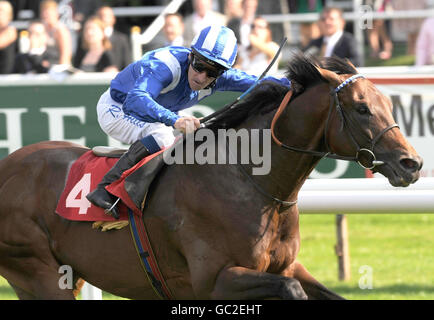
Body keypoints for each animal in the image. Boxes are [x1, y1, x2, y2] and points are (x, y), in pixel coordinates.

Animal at [0, 55, 422, 300]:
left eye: (388, 103)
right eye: (363, 109)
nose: (412, 163)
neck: (251, 182)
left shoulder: (287, 266)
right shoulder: (215, 281)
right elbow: (291, 291)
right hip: (39, 272)